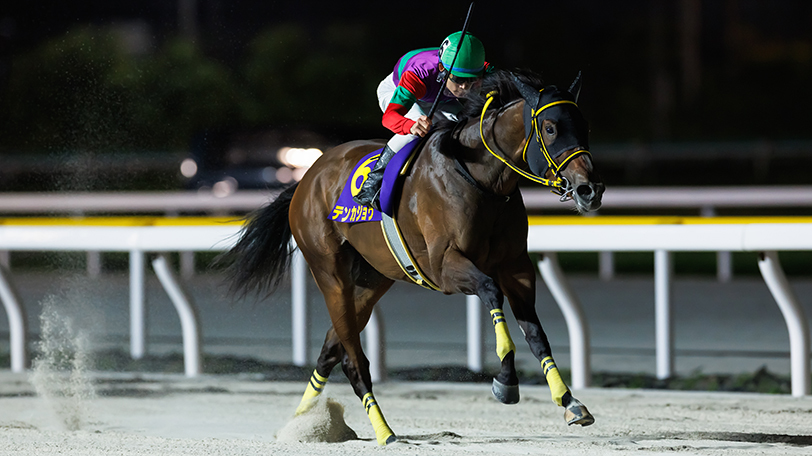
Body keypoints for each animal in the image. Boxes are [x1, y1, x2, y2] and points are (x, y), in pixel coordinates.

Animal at [222, 68, 604, 446]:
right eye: (550, 128)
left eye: (585, 125)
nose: (589, 190)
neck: (481, 178)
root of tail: (306, 179)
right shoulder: (444, 267)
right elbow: (490, 290)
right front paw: (506, 382)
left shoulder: (517, 268)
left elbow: (536, 333)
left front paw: (570, 402)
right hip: (329, 273)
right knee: (353, 360)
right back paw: (384, 432)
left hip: (374, 279)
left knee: (331, 348)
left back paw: (301, 425)